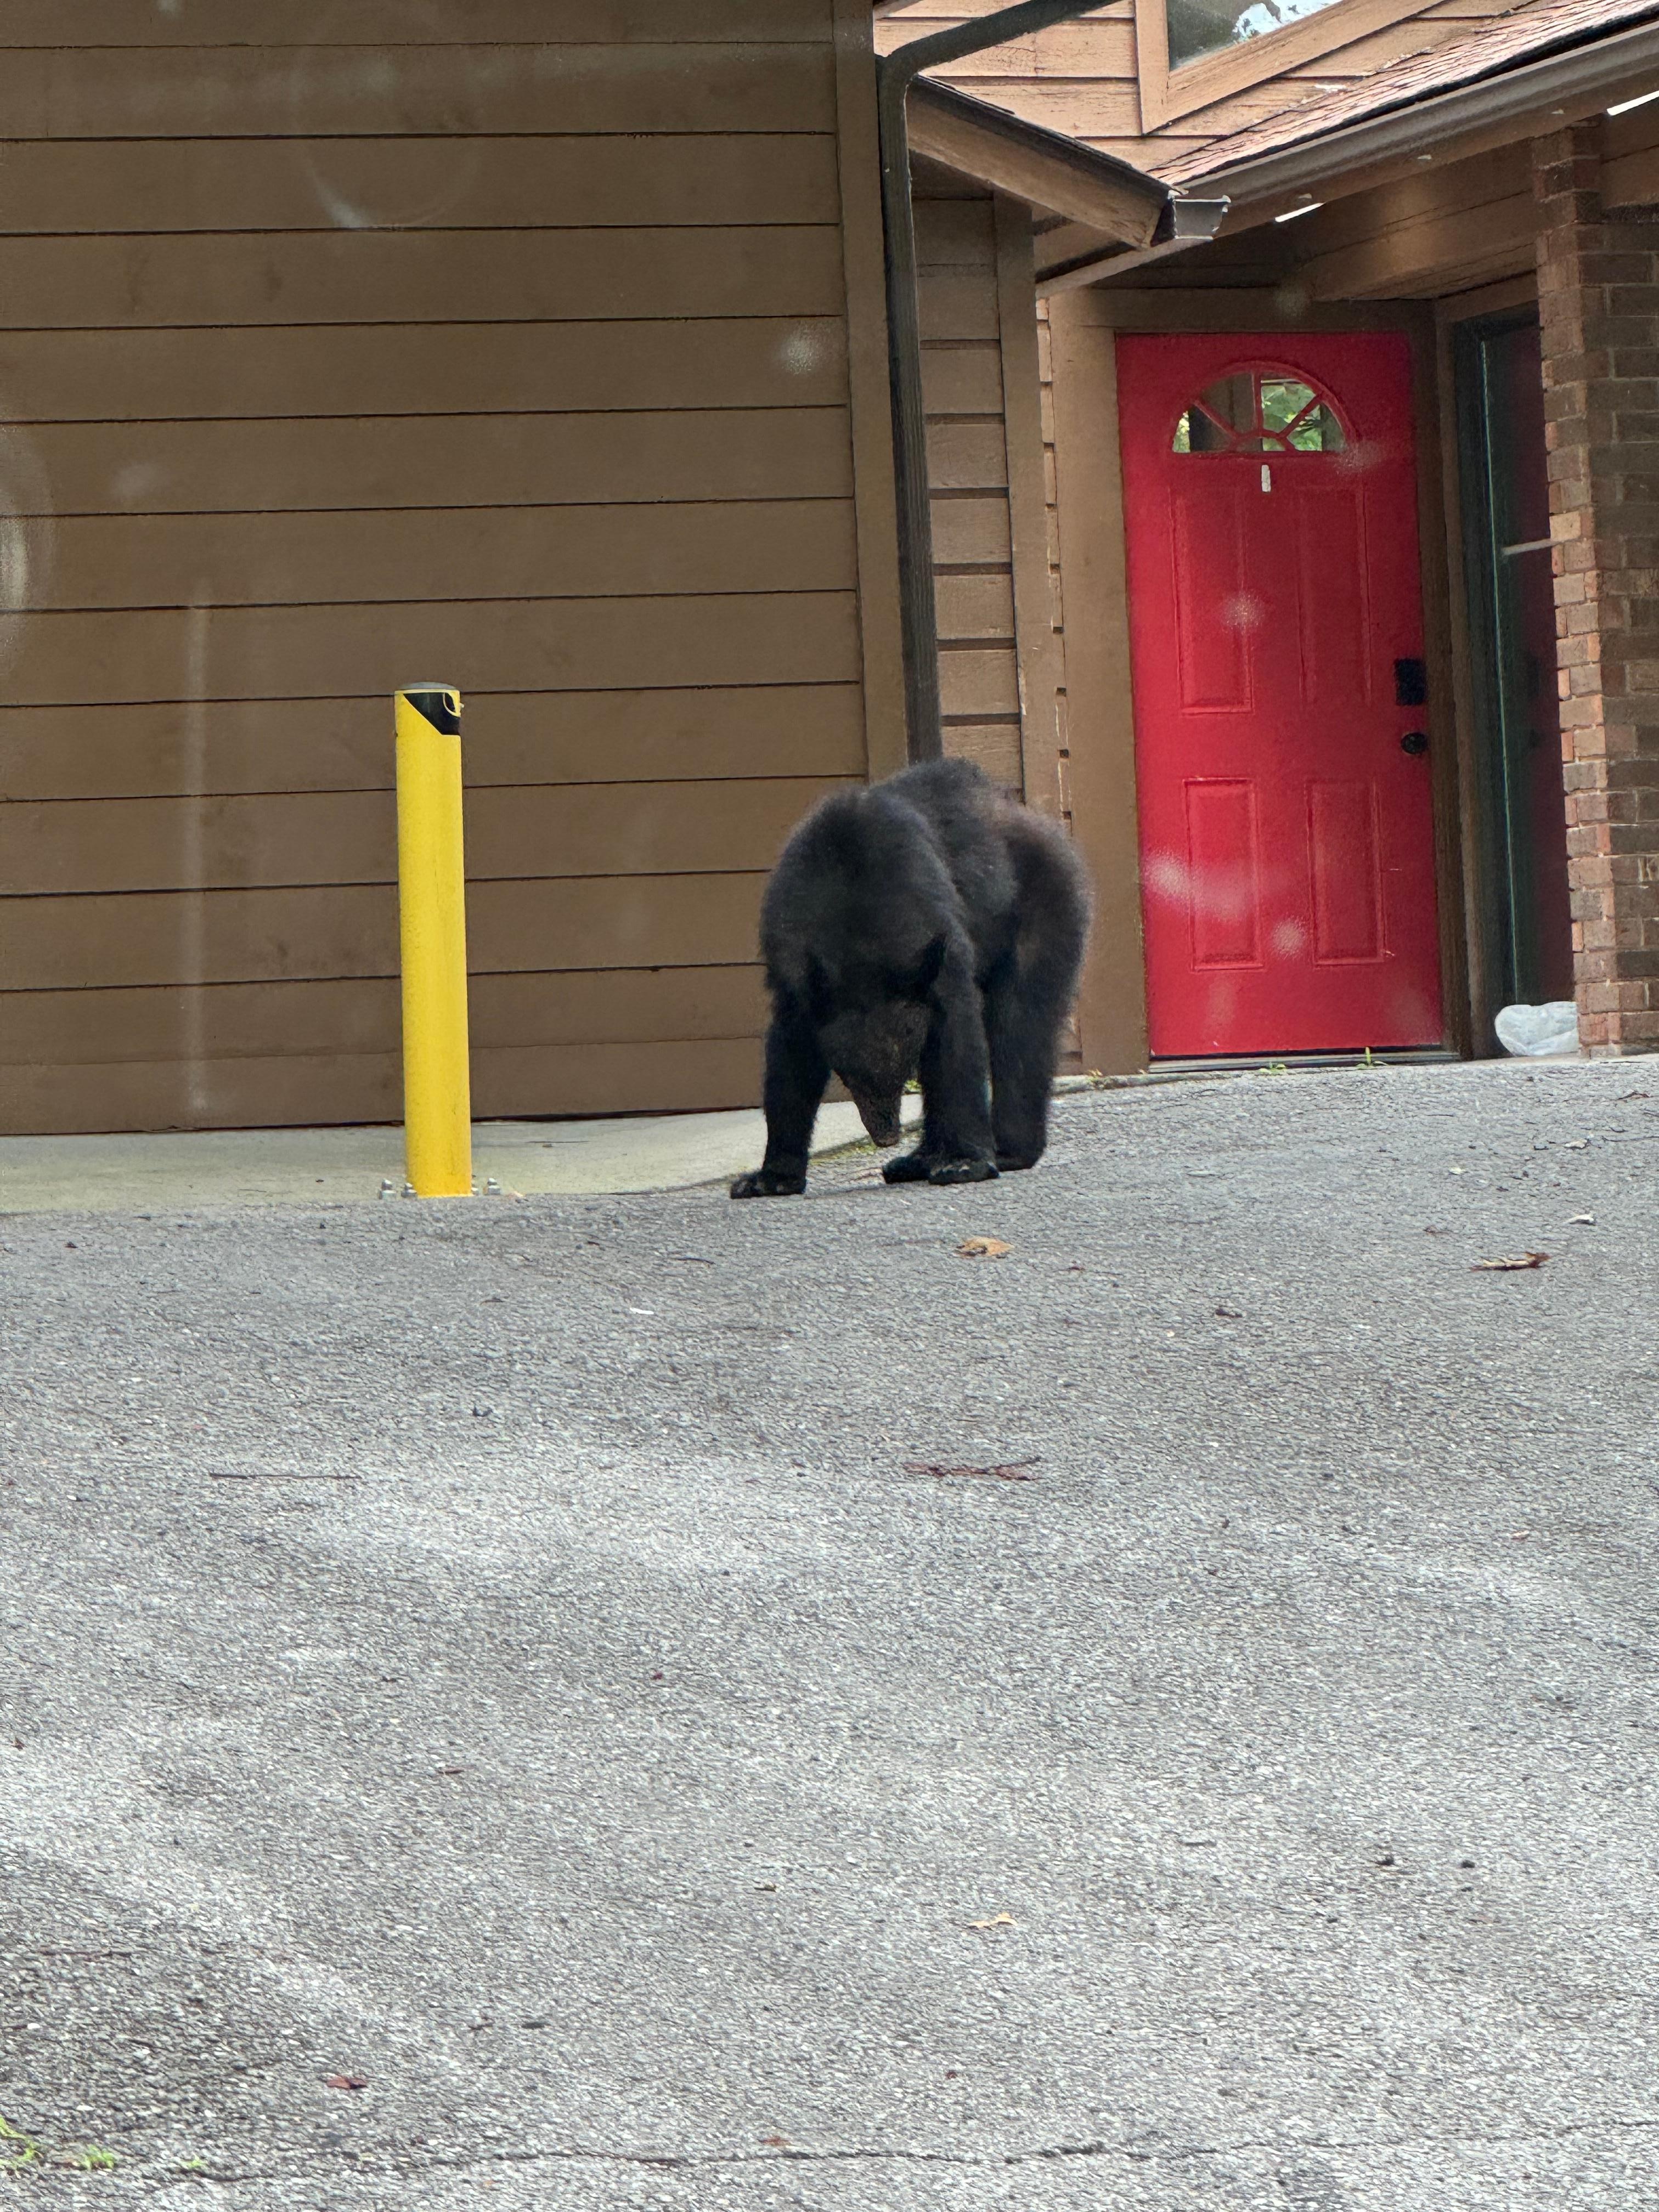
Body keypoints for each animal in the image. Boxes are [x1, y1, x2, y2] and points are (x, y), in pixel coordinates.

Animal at [730, 758, 1092, 1199]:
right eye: (848, 1076)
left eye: (901, 1075)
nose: (886, 1134)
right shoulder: (795, 972)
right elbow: (791, 1055)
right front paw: (770, 1177)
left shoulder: (937, 942)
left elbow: (956, 1038)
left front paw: (965, 1162)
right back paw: (919, 1159)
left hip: (1043, 905)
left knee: (1020, 1026)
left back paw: (1007, 1150)